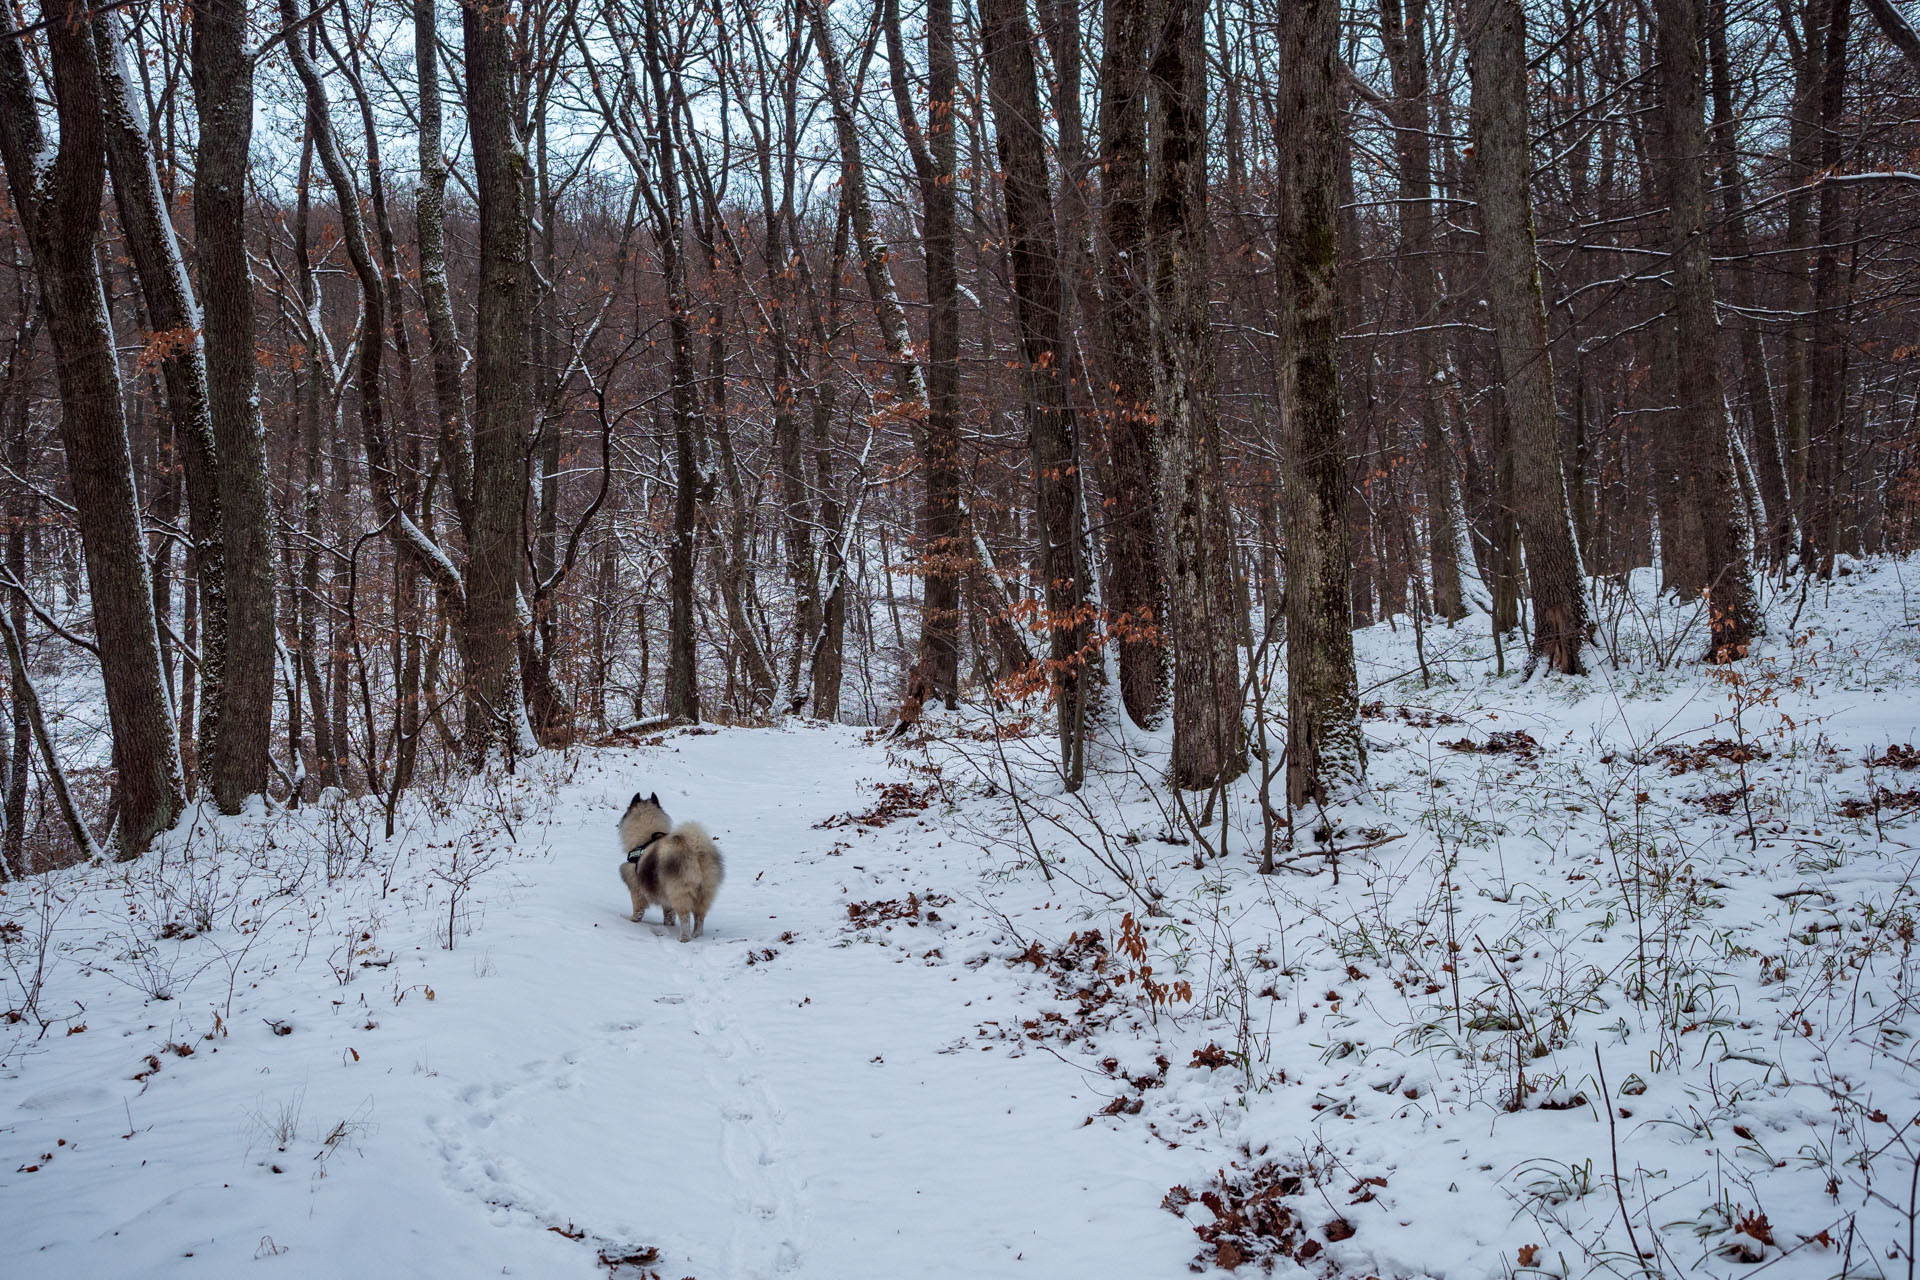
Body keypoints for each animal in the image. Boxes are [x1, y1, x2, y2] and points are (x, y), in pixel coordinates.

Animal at [618, 790, 721, 940]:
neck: (645, 838)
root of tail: (695, 848)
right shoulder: (665, 897)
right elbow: (669, 915)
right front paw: (668, 925)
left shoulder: (636, 887)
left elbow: (638, 909)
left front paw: (632, 920)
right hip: (704, 893)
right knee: (699, 917)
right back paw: (696, 935)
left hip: (680, 892)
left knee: (685, 918)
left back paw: (684, 938)